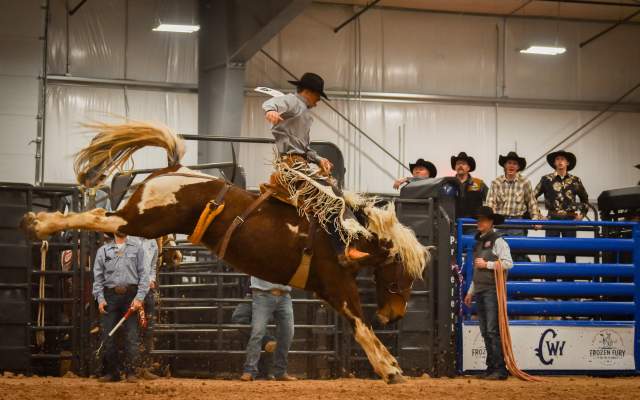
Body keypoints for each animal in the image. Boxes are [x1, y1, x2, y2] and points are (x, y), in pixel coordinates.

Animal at [21, 120, 430, 382]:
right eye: (402, 275)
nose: (395, 315)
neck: (343, 233)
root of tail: (173, 168)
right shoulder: (335, 284)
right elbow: (361, 325)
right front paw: (390, 369)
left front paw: (391, 366)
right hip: (142, 221)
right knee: (100, 218)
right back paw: (38, 224)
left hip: (149, 223)